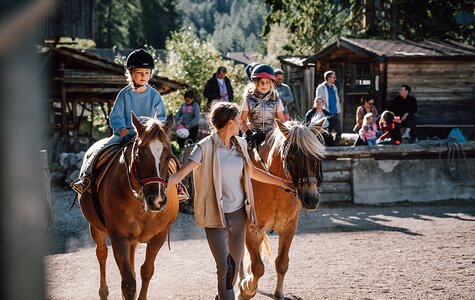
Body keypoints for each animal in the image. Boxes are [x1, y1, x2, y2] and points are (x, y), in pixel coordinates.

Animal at [79, 113, 179, 300]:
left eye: (169, 155)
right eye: (140, 155)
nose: (157, 200)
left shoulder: (159, 236)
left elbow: (146, 271)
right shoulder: (118, 236)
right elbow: (128, 283)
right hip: (96, 227)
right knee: (101, 254)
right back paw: (103, 292)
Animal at [238, 118, 328, 298]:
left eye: (316, 157)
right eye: (292, 157)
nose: (311, 199)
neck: (273, 187)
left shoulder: (288, 228)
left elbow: (281, 263)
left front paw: (278, 294)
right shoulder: (250, 228)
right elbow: (258, 267)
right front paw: (246, 289)